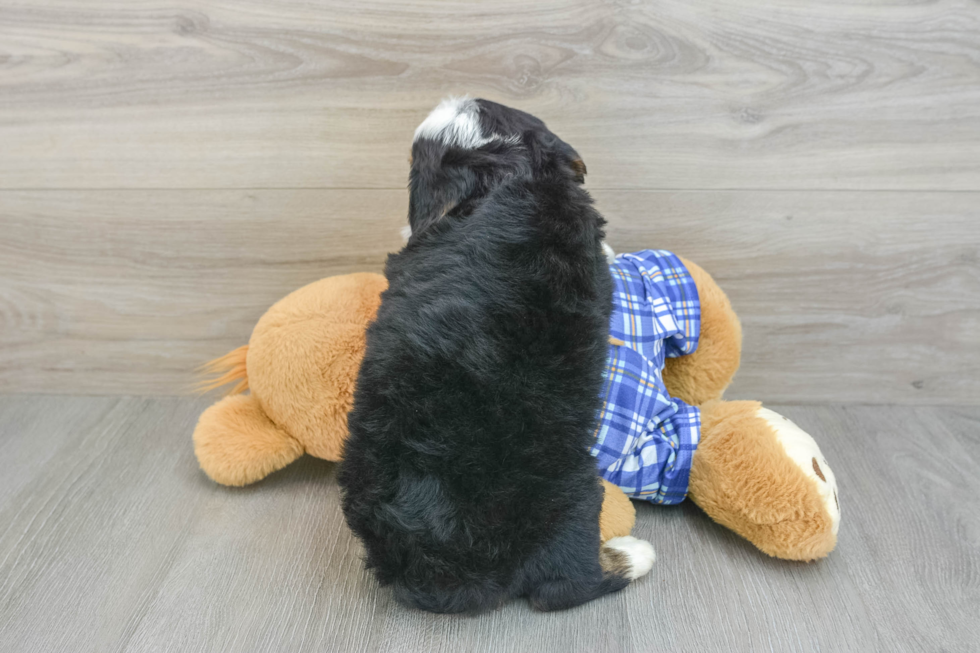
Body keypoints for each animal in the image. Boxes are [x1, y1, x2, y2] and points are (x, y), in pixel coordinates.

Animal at [340, 97, 656, 612]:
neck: (511, 174)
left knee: (570, 587)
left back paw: (634, 553)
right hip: (578, 495)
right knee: (571, 586)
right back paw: (633, 553)